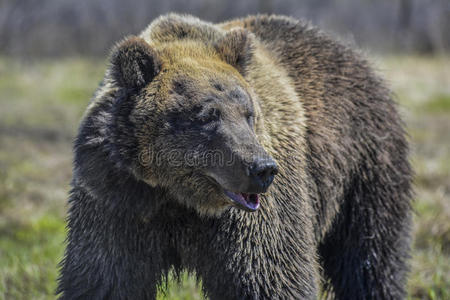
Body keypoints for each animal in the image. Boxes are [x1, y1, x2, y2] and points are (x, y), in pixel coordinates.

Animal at [58, 14, 414, 300]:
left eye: (248, 113)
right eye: (206, 116)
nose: (262, 169)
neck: (178, 198)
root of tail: (351, 52)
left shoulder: (250, 223)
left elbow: (272, 278)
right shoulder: (118, 202)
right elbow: (104, 278)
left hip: (364, 162)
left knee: (371, 255)